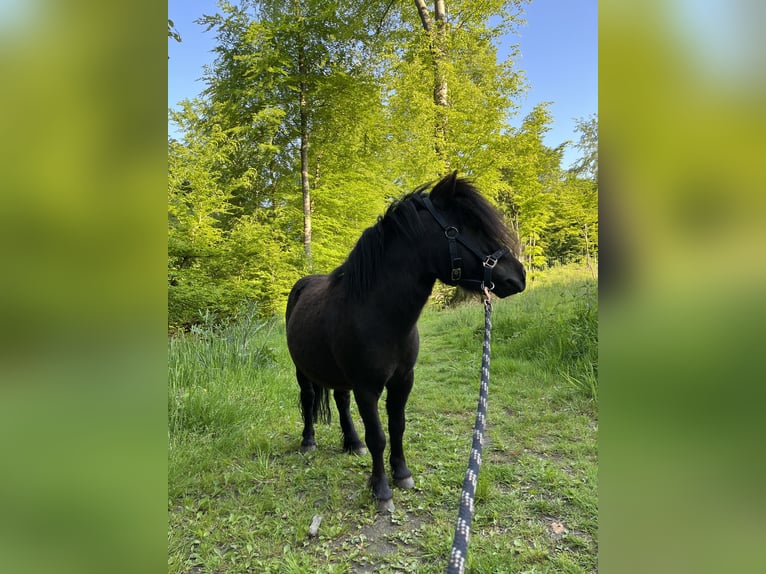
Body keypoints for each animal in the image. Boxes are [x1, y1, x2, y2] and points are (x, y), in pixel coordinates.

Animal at [288, 172, 528, 512]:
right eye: (462, 228)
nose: (518, 276)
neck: (378, 315)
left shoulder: (403, 380)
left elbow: (397, 426)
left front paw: (401, 474)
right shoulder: (367, 387)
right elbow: (378, 436)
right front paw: (381, 490)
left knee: (341, 401)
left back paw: (352, 443)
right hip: (303, 371)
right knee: (309, 399)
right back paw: (308, 441)